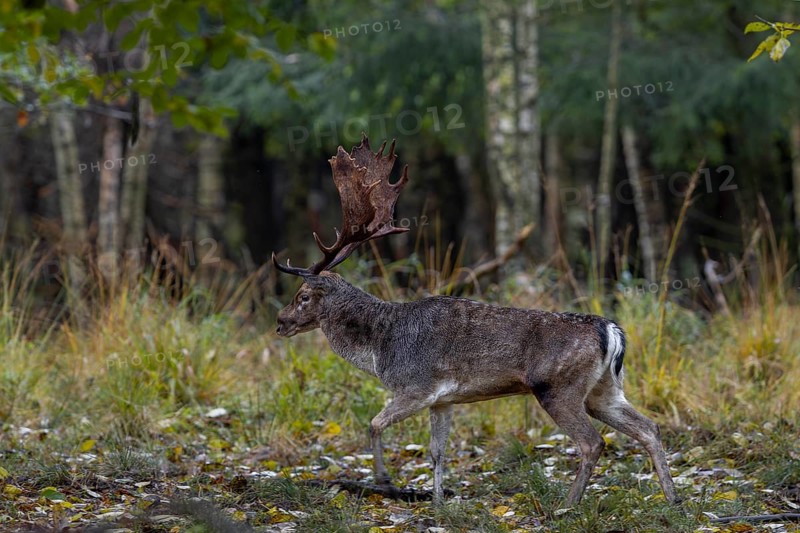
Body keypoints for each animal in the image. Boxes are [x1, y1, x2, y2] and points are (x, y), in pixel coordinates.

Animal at [272, 135, 677, 506]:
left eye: (303, 296)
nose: (279, 322)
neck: (379, 348)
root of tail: (610, 330)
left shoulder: (415, 386)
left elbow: (374, 424)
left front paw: (386, 481)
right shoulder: (442, 399)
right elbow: (437, 451)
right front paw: (438, 502)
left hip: (557, 386)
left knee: (593, 442)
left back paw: (567, 505)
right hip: (604, 390)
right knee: (649, 427)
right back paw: (673, 499)